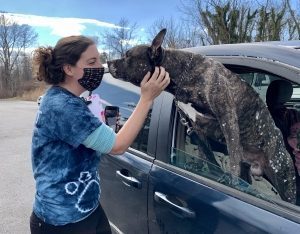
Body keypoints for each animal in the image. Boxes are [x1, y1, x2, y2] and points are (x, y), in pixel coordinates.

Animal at [107, 27, 296, 203]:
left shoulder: (227, 118)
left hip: (283, 177)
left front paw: (232, 183)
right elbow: (204, 153)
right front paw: (202, 169)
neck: (181, 74)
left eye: (127, 56)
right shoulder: (197, 127)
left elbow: (233, 156)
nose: (108, 62)